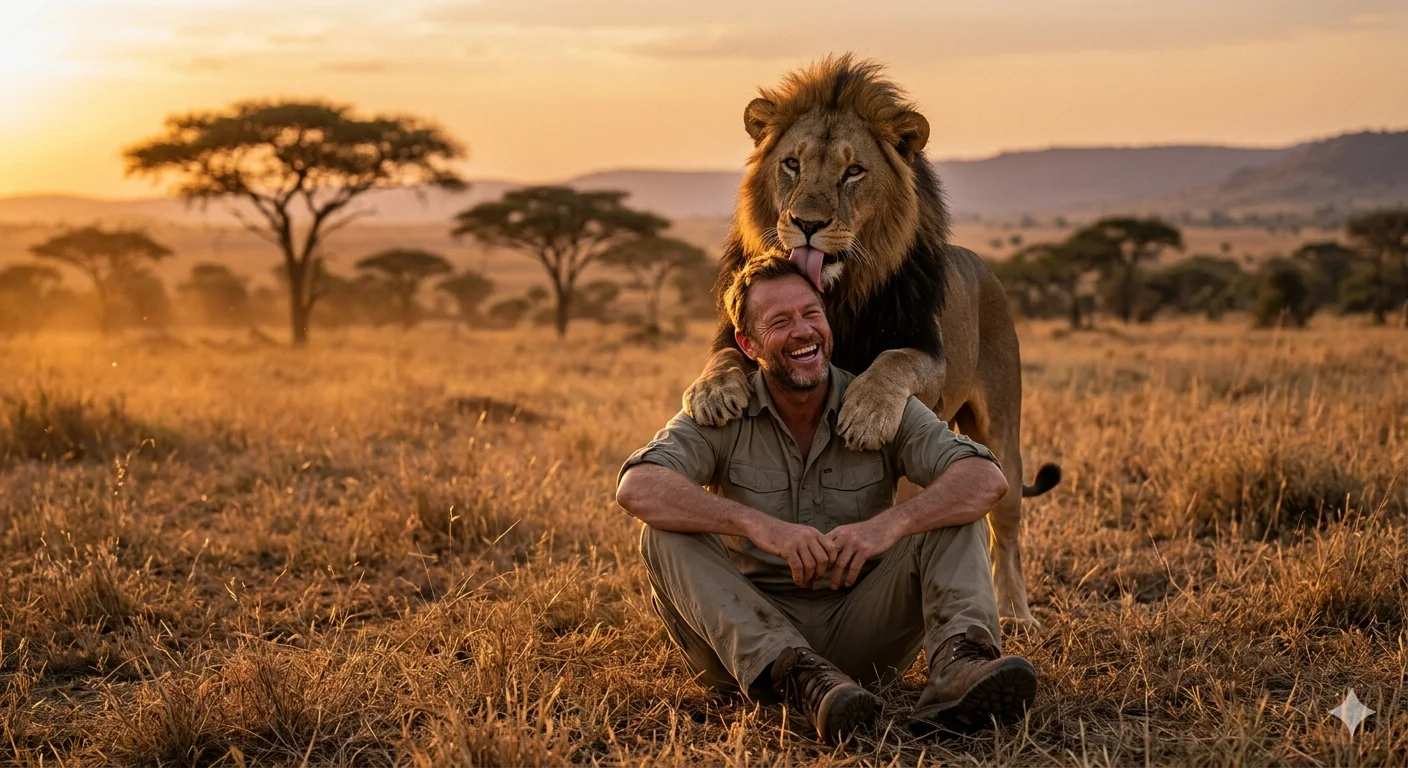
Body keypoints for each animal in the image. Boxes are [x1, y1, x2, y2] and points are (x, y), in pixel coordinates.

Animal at [683, 54, 1061, 623]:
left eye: (853, 171)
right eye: (791, 164)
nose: (807, 223)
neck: (835, 295)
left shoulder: (928, 355)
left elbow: (893, 361)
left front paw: (864, 413)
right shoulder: (735, 333)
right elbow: (723, 358)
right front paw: (712, 393)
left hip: (1001, 425)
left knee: (1006, 523)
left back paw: (1016, 611)